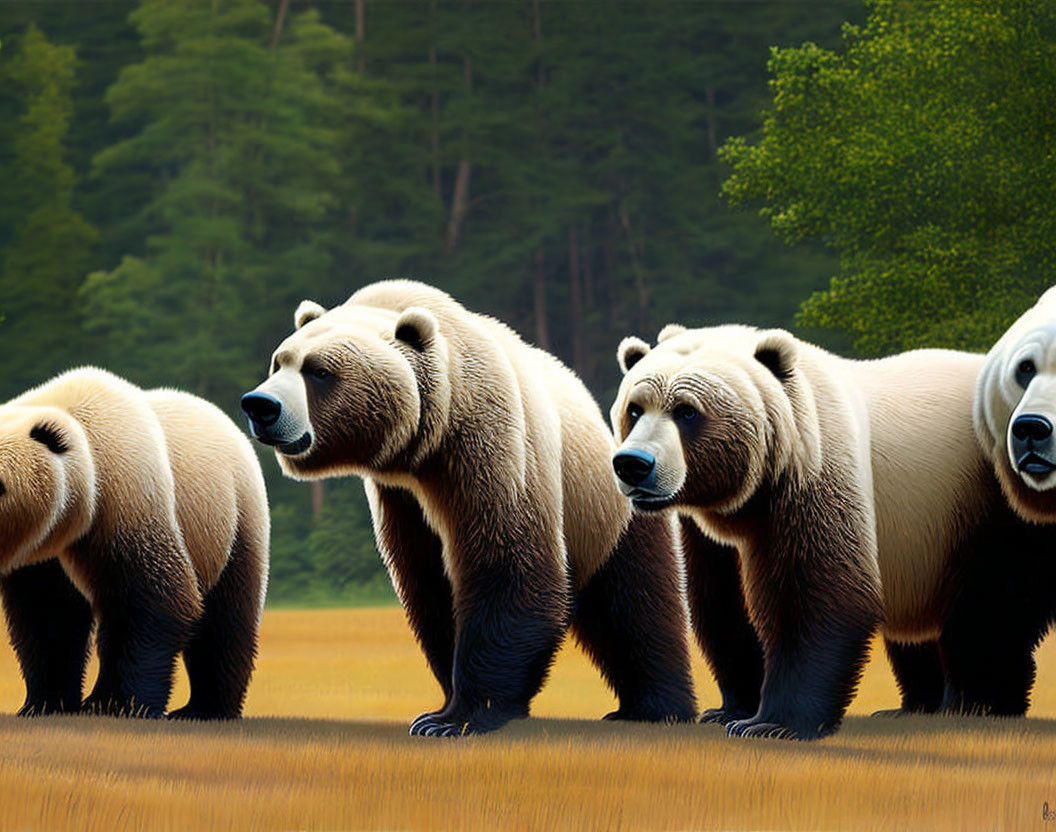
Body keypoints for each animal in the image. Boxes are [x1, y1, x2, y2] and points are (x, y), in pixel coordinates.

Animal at [0, 367, 268, 717]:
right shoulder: (40, 554)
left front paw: (114, 703)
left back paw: (203, 709)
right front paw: (45, 703)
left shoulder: (126, 492)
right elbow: (47, 615)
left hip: (232, 515)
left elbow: (151, 600)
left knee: (226, 619)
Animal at [241, 282, 696, 739]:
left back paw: (655, 707)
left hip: (601, 507)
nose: (260, 405)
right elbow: (431, 587)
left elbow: (508, 567)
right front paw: (444, 707)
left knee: (636, 605)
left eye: (319, 371)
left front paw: (455, 719)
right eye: (280, 361)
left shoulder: (492, 444)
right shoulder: (403, 499)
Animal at [608, 325, 1043, 739]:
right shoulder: (711, 532)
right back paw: (917, 705)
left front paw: (774, 724)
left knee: (989, 606)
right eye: (635, 409)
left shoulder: (815, 471)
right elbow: (723, 603)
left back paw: (975, 704)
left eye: (686, 412)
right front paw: (731, 710)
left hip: (982, 502)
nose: (633, 464)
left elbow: (818, 592)